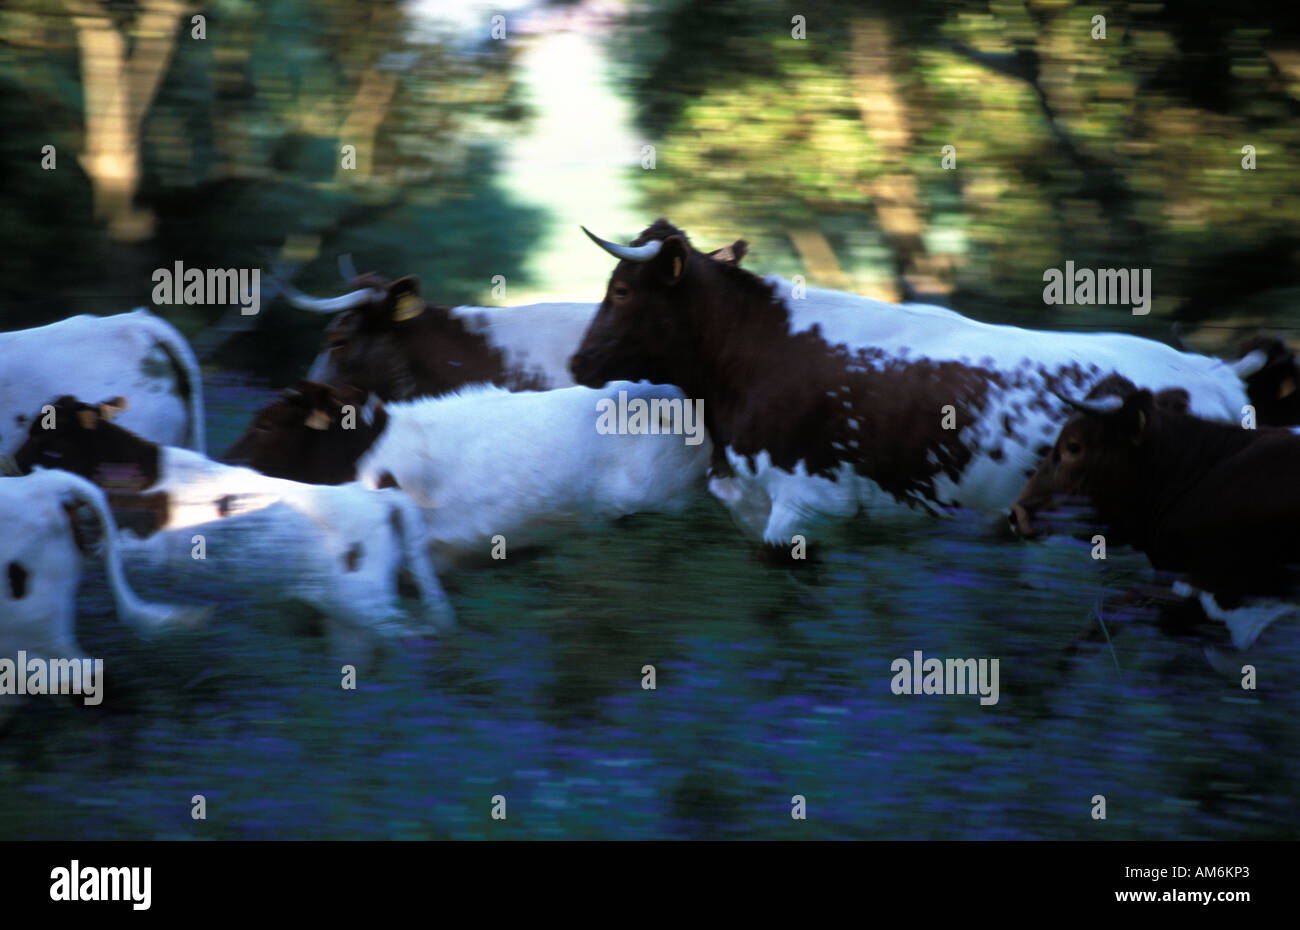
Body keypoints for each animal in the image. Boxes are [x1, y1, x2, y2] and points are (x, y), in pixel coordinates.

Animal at [12, 398, 455, 650]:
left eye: (45, 433)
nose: (14, 459)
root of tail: (376, 498)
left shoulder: (150, 549)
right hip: (348, 607)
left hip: (364, 601)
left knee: (410, 633)